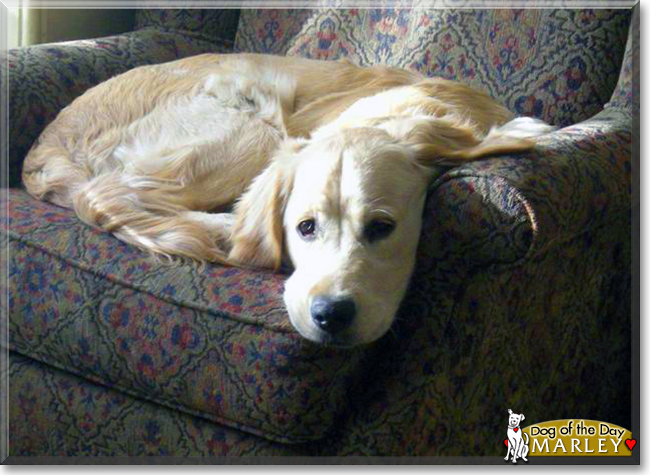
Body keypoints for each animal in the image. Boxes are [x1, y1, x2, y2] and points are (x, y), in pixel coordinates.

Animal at [21, 54, 552, 348]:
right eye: (305, 227)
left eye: (382, 227)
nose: (330, 315)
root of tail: (45, 143)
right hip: (253, 120)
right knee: (110, 192)